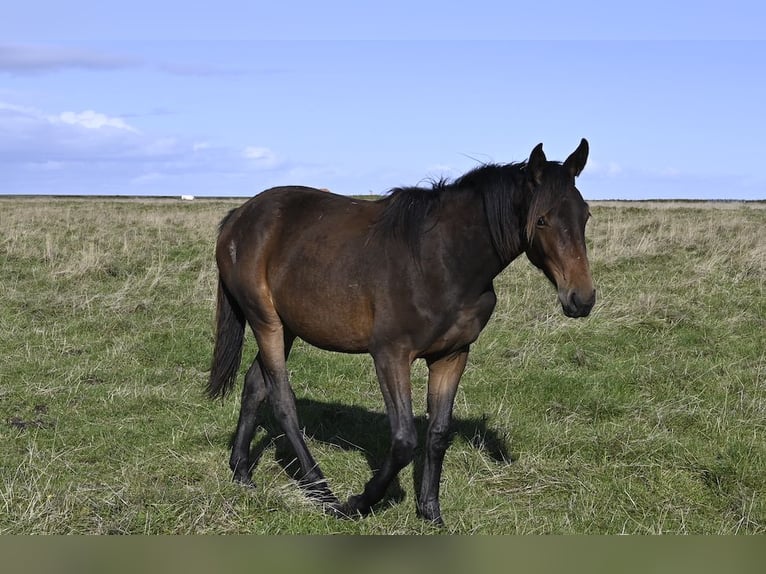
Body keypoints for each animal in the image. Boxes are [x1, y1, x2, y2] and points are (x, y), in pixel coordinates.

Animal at [207, 139, 595, 525]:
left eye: (585, 215)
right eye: (541, 220)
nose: (582, 298)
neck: (443, 261)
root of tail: (239, 217)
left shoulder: (451, 356)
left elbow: (437, 433)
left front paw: (431, 511)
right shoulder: (391, 355)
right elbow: (405, 439)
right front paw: (358, 503)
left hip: (287, 327)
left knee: (255, 385)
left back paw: (242, 472)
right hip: (266, 323)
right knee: (282, 400)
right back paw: (322, 490)